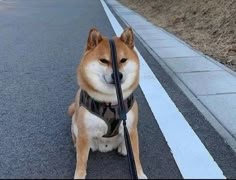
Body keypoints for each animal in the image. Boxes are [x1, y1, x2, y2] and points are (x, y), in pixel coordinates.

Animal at [67, 27, 147, 179]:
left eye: (123, 60)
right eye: (103, 61)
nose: (118, 75)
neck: (111, 101)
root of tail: (105, 147)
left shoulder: (131, 128)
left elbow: (136, 156)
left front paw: (139, 174)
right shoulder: (84, 132)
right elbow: (81, 161)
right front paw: (79, 175)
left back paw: (123, 148)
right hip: (76, 123)